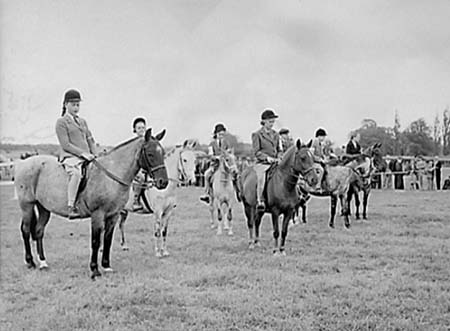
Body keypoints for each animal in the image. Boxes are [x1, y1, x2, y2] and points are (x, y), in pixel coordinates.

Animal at [14, 130, 169, 280]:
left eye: (163, 153)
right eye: (150, 153)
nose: (163, 182)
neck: (110, 176)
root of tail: (23, 163)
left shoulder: (113, 215)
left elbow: (107, 240)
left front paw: (106, 266)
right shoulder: (97, 214)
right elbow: (95, 241)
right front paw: (94, 270)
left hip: (44, 208)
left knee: (39, 231)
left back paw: (43, 263)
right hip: (27, 205)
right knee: (25, 230)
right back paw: (30, 262)